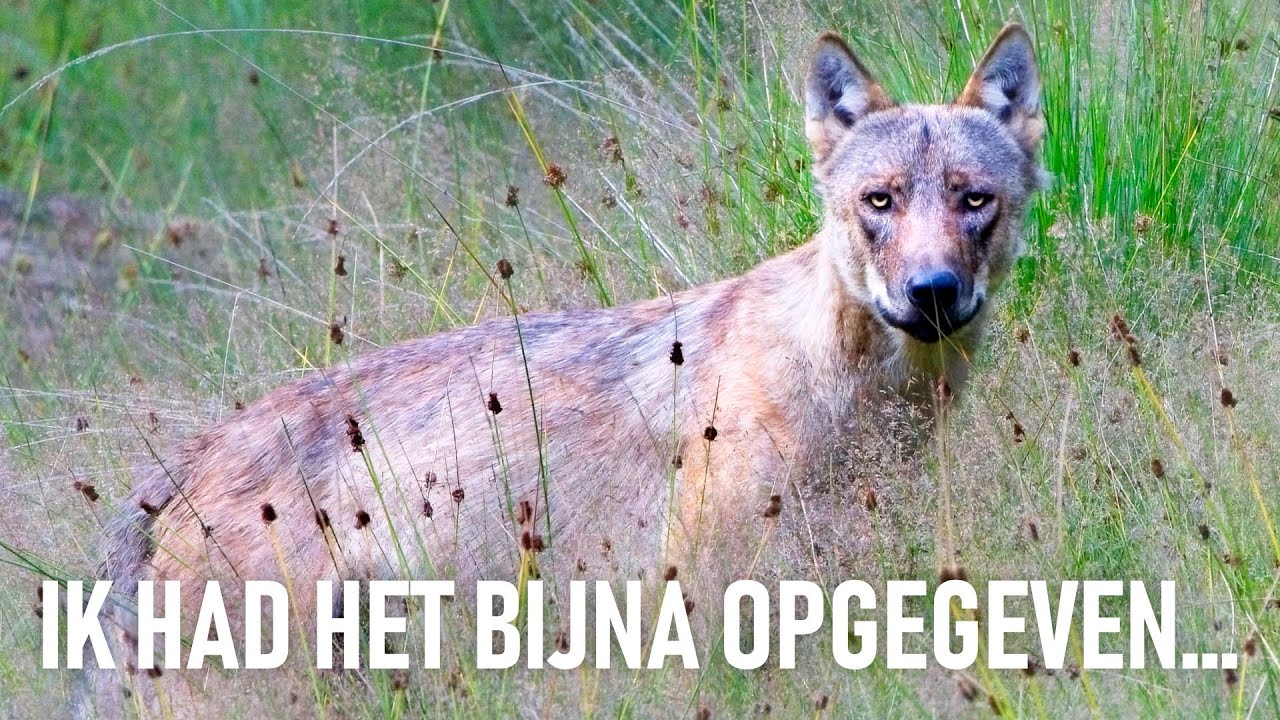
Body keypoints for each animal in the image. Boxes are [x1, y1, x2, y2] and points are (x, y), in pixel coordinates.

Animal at [83, 23, 1044, 715]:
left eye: (975, 200)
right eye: (879, 201)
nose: (931, 292)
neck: (850, 397)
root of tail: (179, 464)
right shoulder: (696, 602)